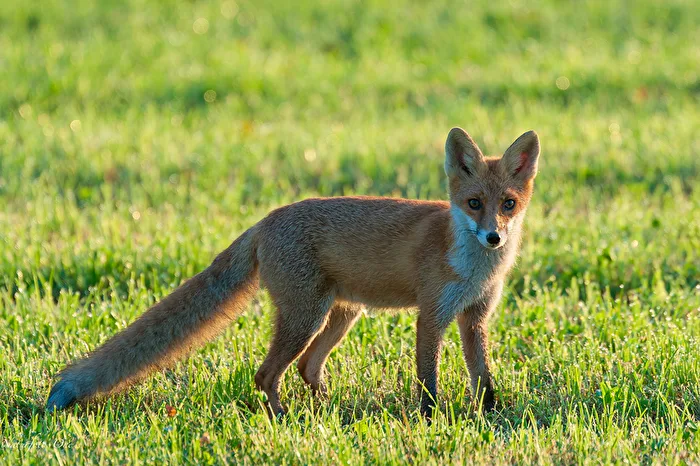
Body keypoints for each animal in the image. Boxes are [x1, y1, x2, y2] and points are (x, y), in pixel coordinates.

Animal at [46, 127, 540, 418]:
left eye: (508, 204)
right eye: (474, 203)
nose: (493, 238)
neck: (474, 268)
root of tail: (265, 220)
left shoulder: (474, 318)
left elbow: (483, 378)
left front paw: (491, 416)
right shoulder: (432, 316)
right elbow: (428, 381)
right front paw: (429, 419)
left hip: (339, 316)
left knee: (306, 367)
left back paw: (325, 410)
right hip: (307, 317)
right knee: (266, 374)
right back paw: (282, 418)